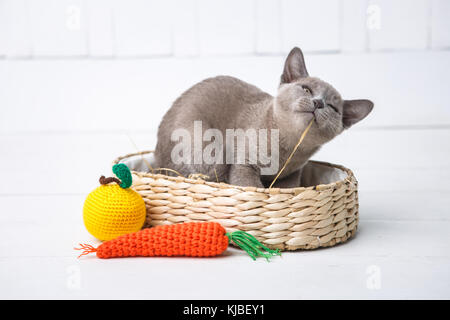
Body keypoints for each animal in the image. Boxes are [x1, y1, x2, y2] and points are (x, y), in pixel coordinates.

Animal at [155, 47, 372, 188]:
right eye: (306, 89)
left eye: (333, 107)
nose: (318, 102)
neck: (287, 148)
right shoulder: (244, 164)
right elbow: (252, 187)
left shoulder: (291, 175)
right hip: (209, 149)